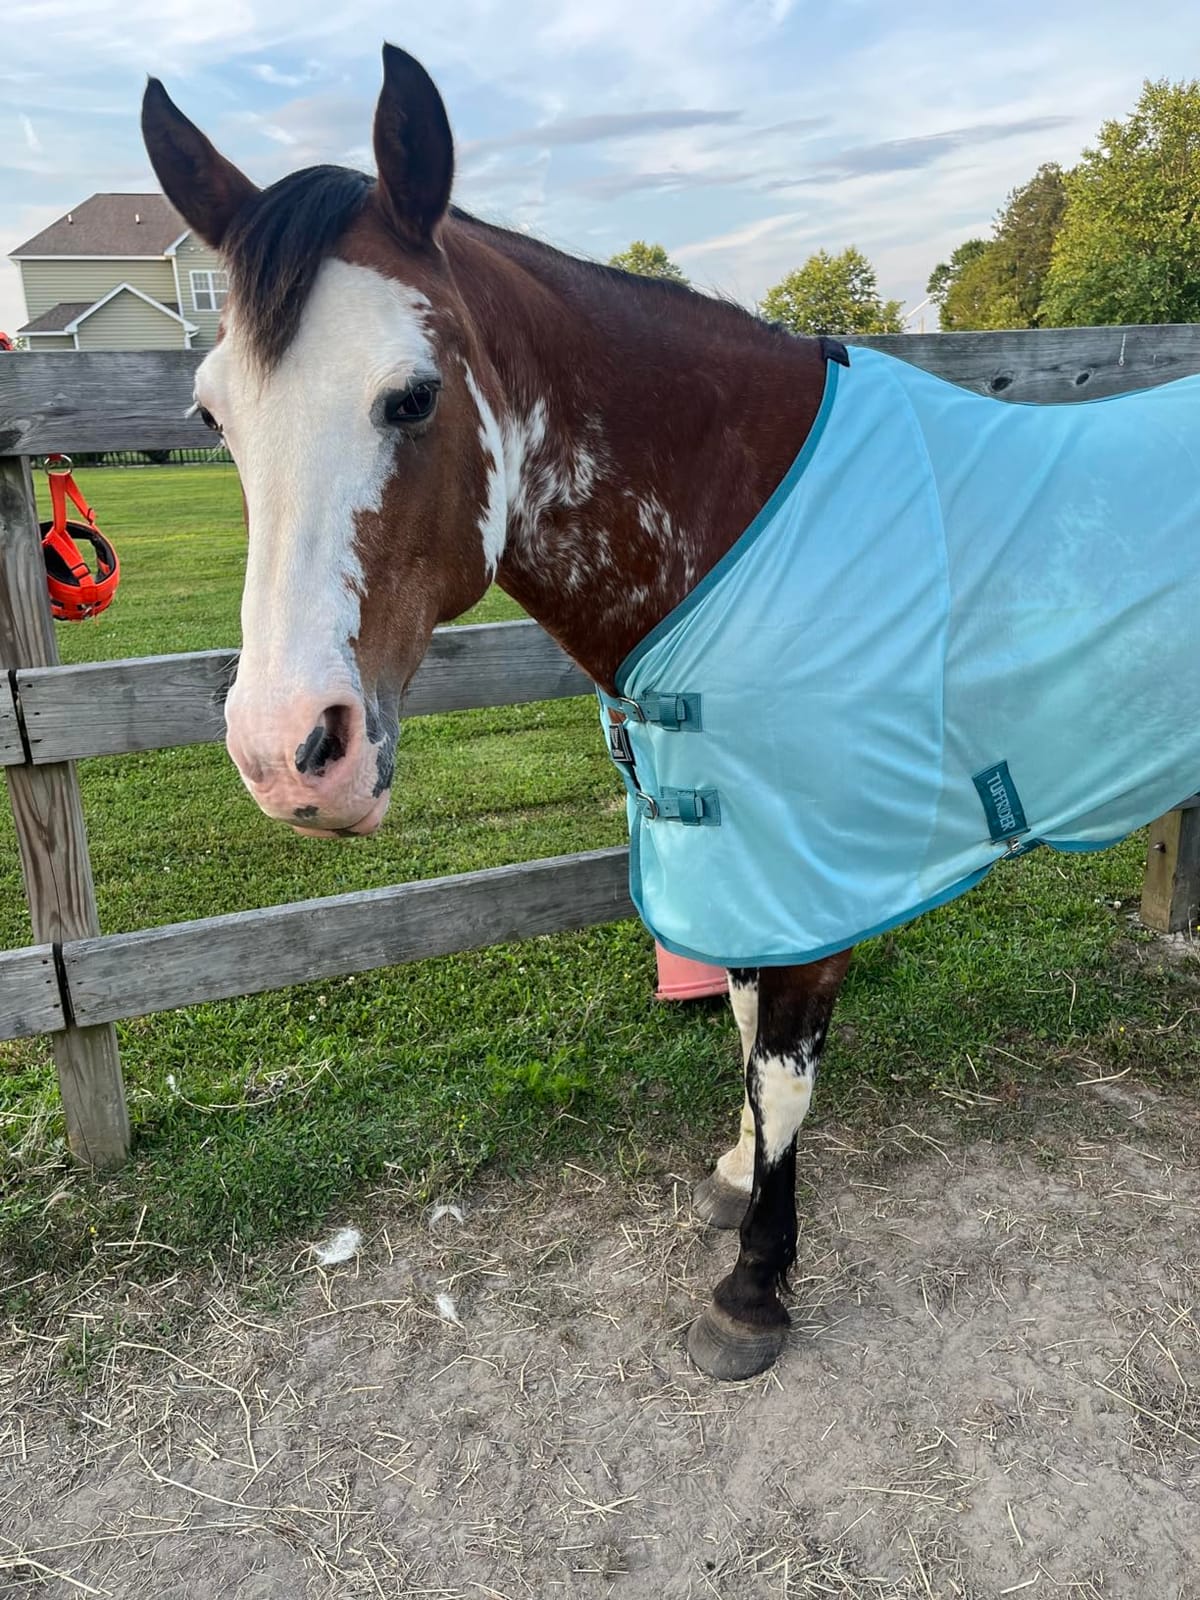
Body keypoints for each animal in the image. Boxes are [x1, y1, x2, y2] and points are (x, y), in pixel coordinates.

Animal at [141, 46, 1200, 1381]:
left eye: (412, 397)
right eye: (212, 416)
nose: (290, 751)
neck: (746, 517)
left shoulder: (819, 864)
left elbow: (783, 1066)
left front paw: (753, 1287)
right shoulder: (745, 847)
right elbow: (742, 1025)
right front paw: (741, 1180)